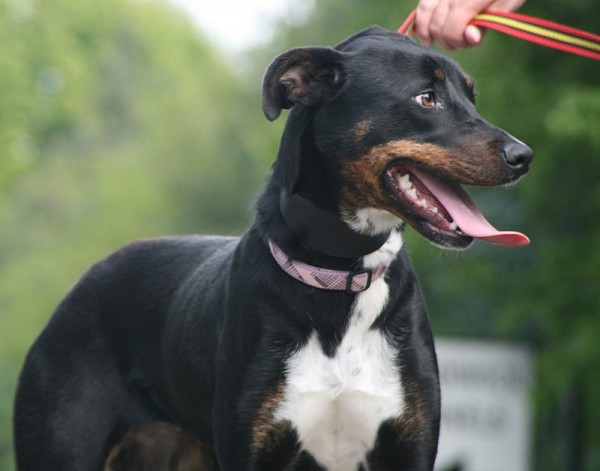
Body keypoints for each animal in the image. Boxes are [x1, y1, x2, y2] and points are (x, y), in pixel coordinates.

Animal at [12, 26, 528, 471]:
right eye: (426, 98)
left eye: (471, 97)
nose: (523, 156)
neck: (342, 275)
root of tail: (81, 285)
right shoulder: (252, 448)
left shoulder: (409, 446)